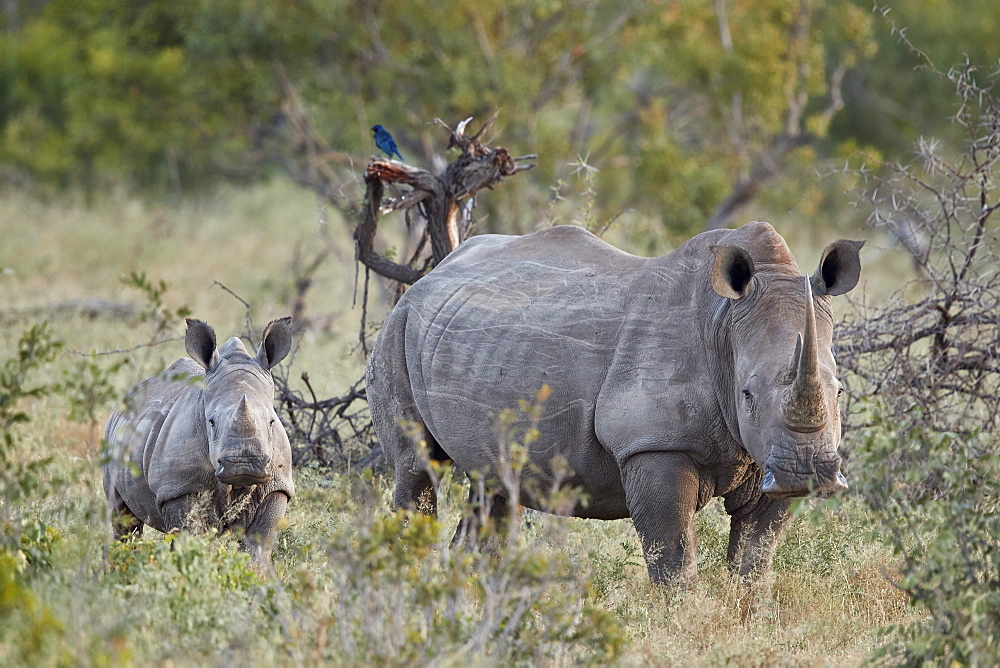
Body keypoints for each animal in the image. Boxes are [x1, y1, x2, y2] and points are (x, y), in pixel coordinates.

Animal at [104, 318, 294, 564]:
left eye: (272, 421)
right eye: (211, 422)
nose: (244, 465)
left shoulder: (277, 487)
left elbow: (258, 546)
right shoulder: (179, 488)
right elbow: (190, 541)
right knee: (123, 517)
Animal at [368, 222, 860, 580]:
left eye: (838, 391)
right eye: (747, 395)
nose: (806, 473)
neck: (724, 326)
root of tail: (430, 276)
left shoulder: (765, 455)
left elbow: (755, 558)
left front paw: (747, 618)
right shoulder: (654, 443)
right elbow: (673, 557)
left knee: (493, 485)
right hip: (396, 328)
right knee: (417, 469)